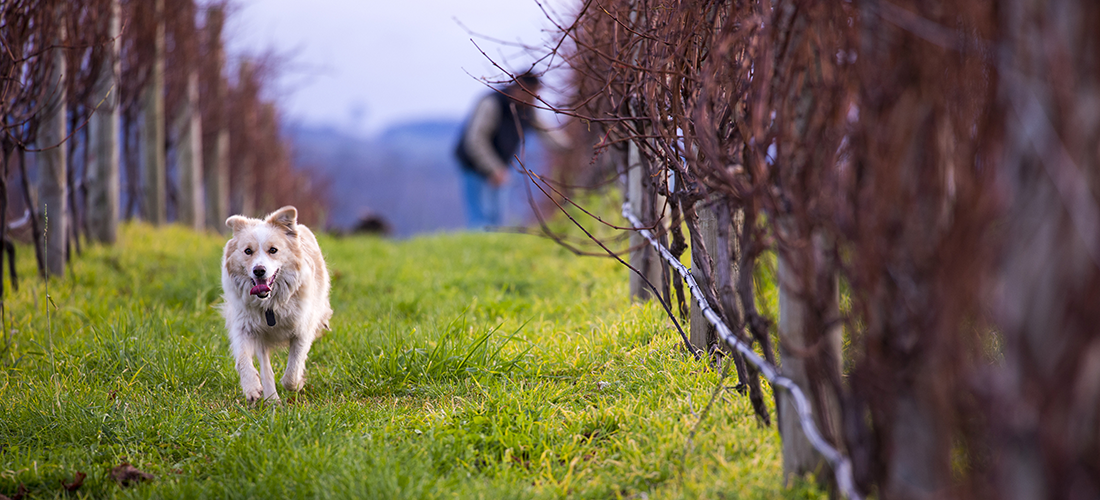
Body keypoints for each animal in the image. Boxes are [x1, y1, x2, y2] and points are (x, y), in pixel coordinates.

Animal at [218, 205, 330, 404]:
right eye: (248, 251)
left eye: (273, 250)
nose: (259, 270)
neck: (269, 305)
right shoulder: (244, 327)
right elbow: (243, 359)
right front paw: (252, 388)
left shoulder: (302, 331)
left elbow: (292, 370)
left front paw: (297, 383)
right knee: (266, 368)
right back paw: (271, 400)